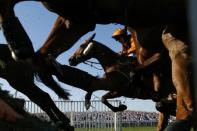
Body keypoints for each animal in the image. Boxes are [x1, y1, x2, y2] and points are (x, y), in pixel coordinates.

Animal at [0, 0, 193, 129]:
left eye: (82, 45)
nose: (70, 60)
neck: (113, 65)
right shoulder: (108, 84)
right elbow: (96, 93)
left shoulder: (120, 88)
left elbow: (103, 96)